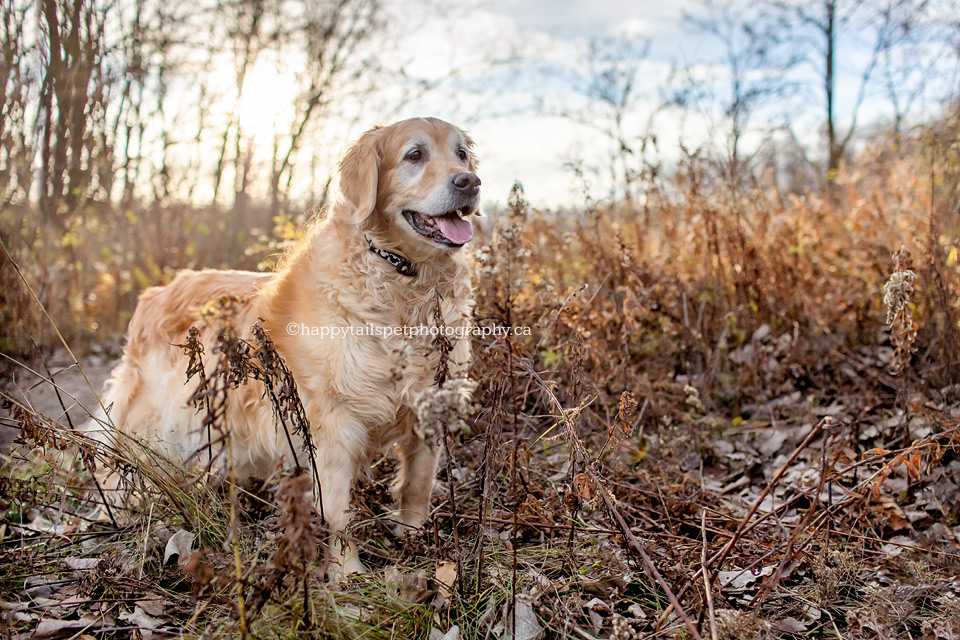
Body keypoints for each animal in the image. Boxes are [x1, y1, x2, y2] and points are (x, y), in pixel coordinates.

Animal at [86, 119, 480, 576]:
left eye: (461, 155)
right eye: (414, 155)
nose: (470, 182)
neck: (403, 280)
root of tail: (156, 291)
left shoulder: (429, 408)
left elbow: (417, 484)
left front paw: (414, 537)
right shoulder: (333, 423)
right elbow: (339, 511)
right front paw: (346, 573)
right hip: (152, 421)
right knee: (122, 462)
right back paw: (116, 509)